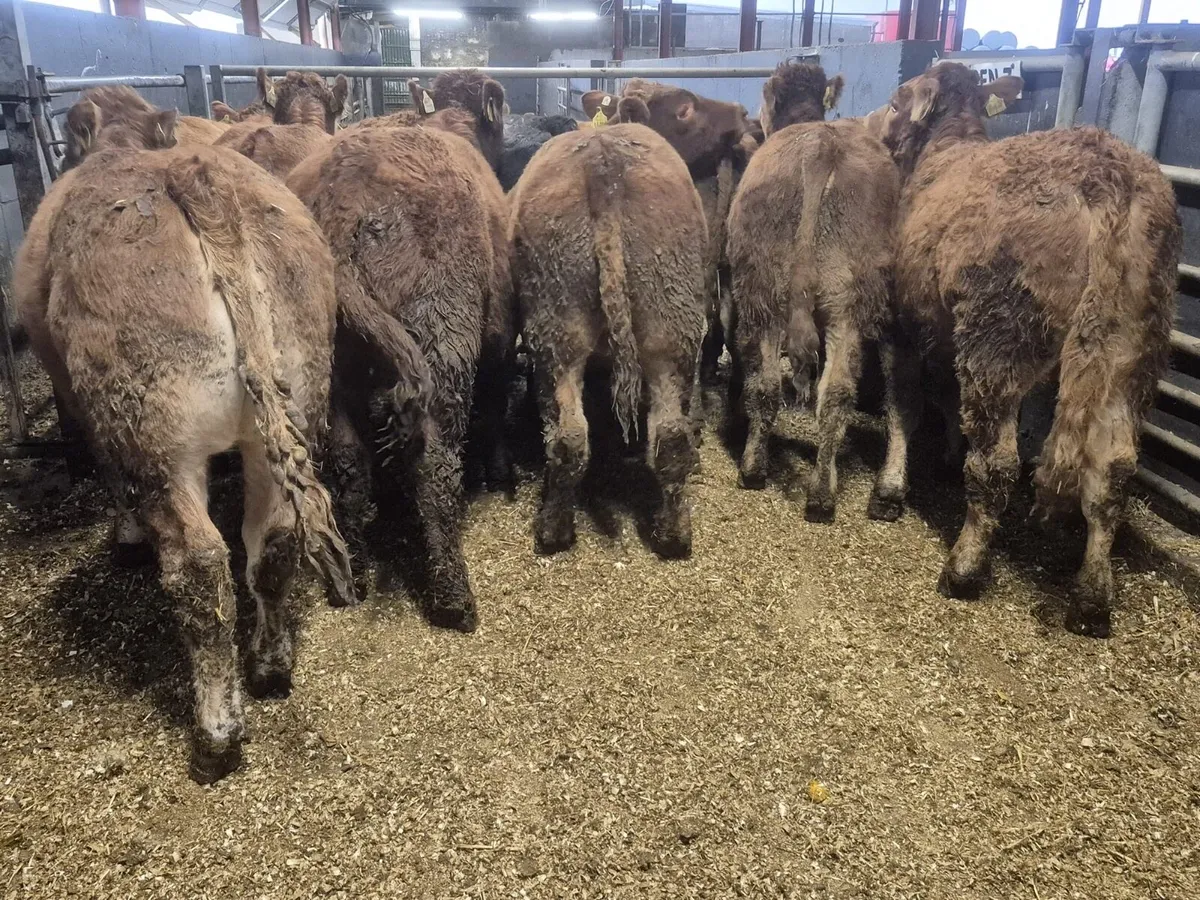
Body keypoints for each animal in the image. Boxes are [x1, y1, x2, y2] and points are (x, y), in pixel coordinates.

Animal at [14, 94, 355, 782]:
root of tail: (197, 183)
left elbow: (111, 479)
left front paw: (125, 536)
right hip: (293, 397)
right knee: (274, 539)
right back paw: (270, 666)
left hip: (155, 433)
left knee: (199, 565)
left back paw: (215, 734)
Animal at [287, 86, 510, 632]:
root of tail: (340, 208)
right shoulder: (497, 335)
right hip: (443, 342)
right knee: (435, 465)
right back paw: (454, 598)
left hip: (330, 375)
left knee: (350, 468)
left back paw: (355, 575)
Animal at [509, 104, 708, 558]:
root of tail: (604, 166)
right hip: (669, 326)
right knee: (668, 437)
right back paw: (674, 533)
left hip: (556, 329)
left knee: (568, 435)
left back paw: (553, 530)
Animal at [725, 61, 899, 525]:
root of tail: (822, 145)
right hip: (836, 303)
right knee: (811, 392)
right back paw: (806, 488)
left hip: (778, 296)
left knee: (799, 390)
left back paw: (785, 482)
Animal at [873, 61, 1180, 637]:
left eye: (899, 98)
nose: (878, 126)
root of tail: (1111, 181)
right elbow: (944, 397)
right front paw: (946, 456)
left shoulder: (904, 319)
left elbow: (906, 404)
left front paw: (889, 489)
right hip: (1132, 346)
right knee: (1113, 470)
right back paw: (1091, 601)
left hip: (1000, 333)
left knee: (997, 463)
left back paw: (964, 568)